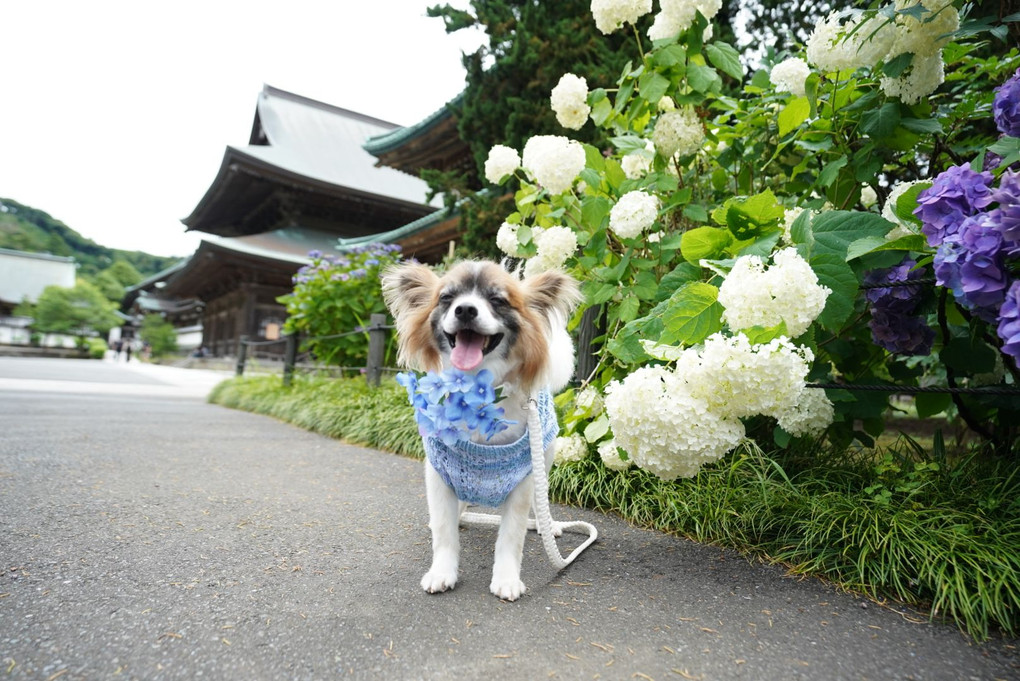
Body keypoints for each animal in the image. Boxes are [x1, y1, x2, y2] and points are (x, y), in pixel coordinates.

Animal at [383, 260, 583, 599]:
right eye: (447, 298)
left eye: (498, 300)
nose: (465, 309)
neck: (475, 391)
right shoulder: (439, 476)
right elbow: (444, 532)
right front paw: (442, 572)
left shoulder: (522, 483)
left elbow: (511, 538)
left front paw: (507, 578)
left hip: (544, 461)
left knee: (541, 504)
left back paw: (548, 525)